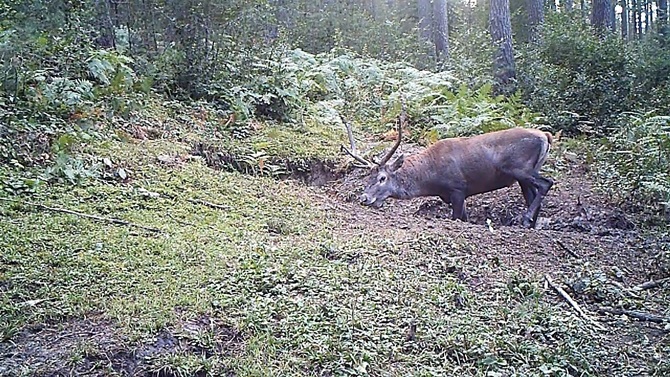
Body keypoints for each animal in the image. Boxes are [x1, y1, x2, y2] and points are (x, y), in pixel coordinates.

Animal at [344, 107, 552, 228]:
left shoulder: (458, 188)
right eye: (368, 178)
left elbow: (456, 218)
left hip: (520, 168)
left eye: (382, 178)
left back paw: (526, 219)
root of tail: (545, 136)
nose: (364, 197)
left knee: (546, 183)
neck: (432, 180)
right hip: (522, 176)